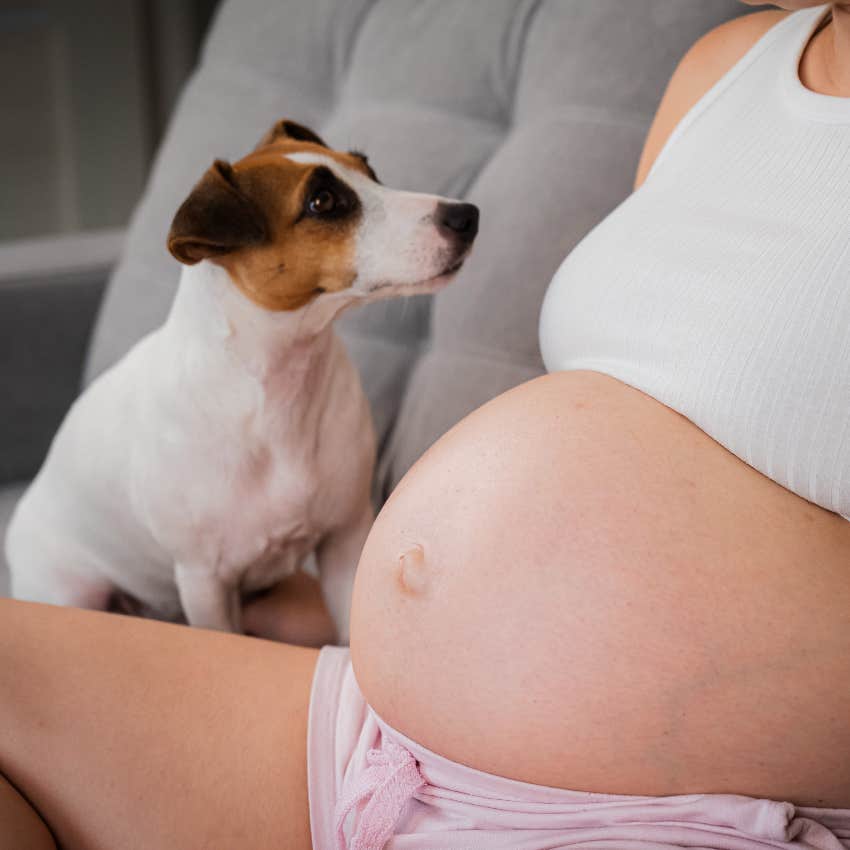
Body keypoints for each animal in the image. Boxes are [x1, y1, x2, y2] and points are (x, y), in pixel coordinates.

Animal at [4, 117, 476, 636]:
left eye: (368, 170)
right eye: (323, 201)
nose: (466, 215)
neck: (278, 388)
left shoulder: (345, 540)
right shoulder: (205, 581)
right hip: (75, 590)